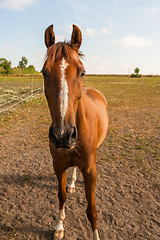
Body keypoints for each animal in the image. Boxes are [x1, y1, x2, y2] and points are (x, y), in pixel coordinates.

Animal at [42, 23, 109, 239]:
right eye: (44, 72)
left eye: (82, 72)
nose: (62, 136)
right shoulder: (58, 166)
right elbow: (61, 196)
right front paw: (59, 226)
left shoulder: (89, 170)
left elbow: (92, 210)